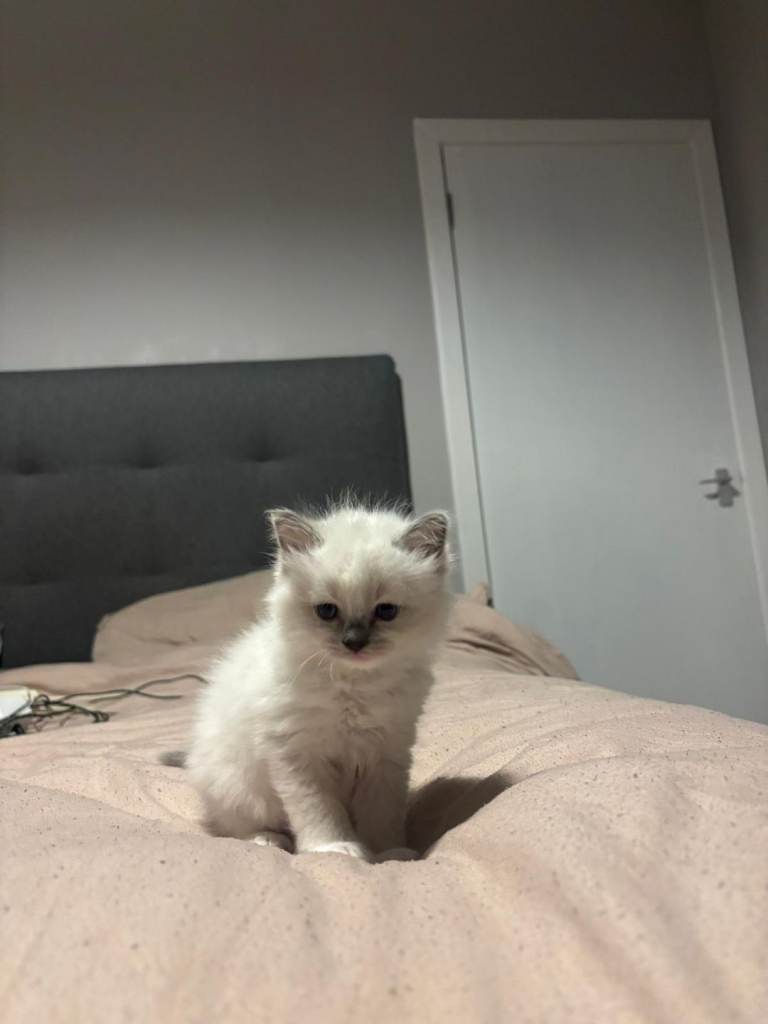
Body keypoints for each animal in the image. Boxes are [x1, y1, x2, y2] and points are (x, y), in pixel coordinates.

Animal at [184, 503, 452, 860]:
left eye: (386, 611)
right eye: (327, 611)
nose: (354, 643)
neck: (354, 686)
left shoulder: (386, 755)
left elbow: (382, 816)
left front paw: (388, 854)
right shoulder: (298, 756)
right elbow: (319, 811)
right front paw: (334, 849)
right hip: (239, 789)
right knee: (238, 829)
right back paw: (268, 840)